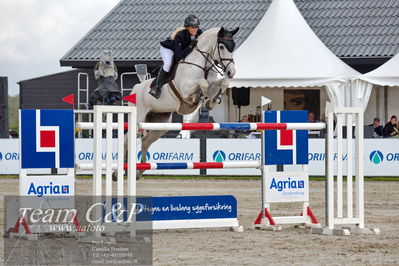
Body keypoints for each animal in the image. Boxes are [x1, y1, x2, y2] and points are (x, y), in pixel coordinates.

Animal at [115, 27, 239, 179]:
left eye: (233, 46)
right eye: (221, 46)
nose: (231, 72)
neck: (202, 65)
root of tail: (136, 88)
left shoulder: (213, 84)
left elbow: (223, 83)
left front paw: (212, 101)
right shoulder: (186, 90)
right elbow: (202, 84)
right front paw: (198, 99)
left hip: (161, 124)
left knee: (145, 141)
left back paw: (139, 172)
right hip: (139, 117)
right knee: (127, 140)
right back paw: (116, 173)